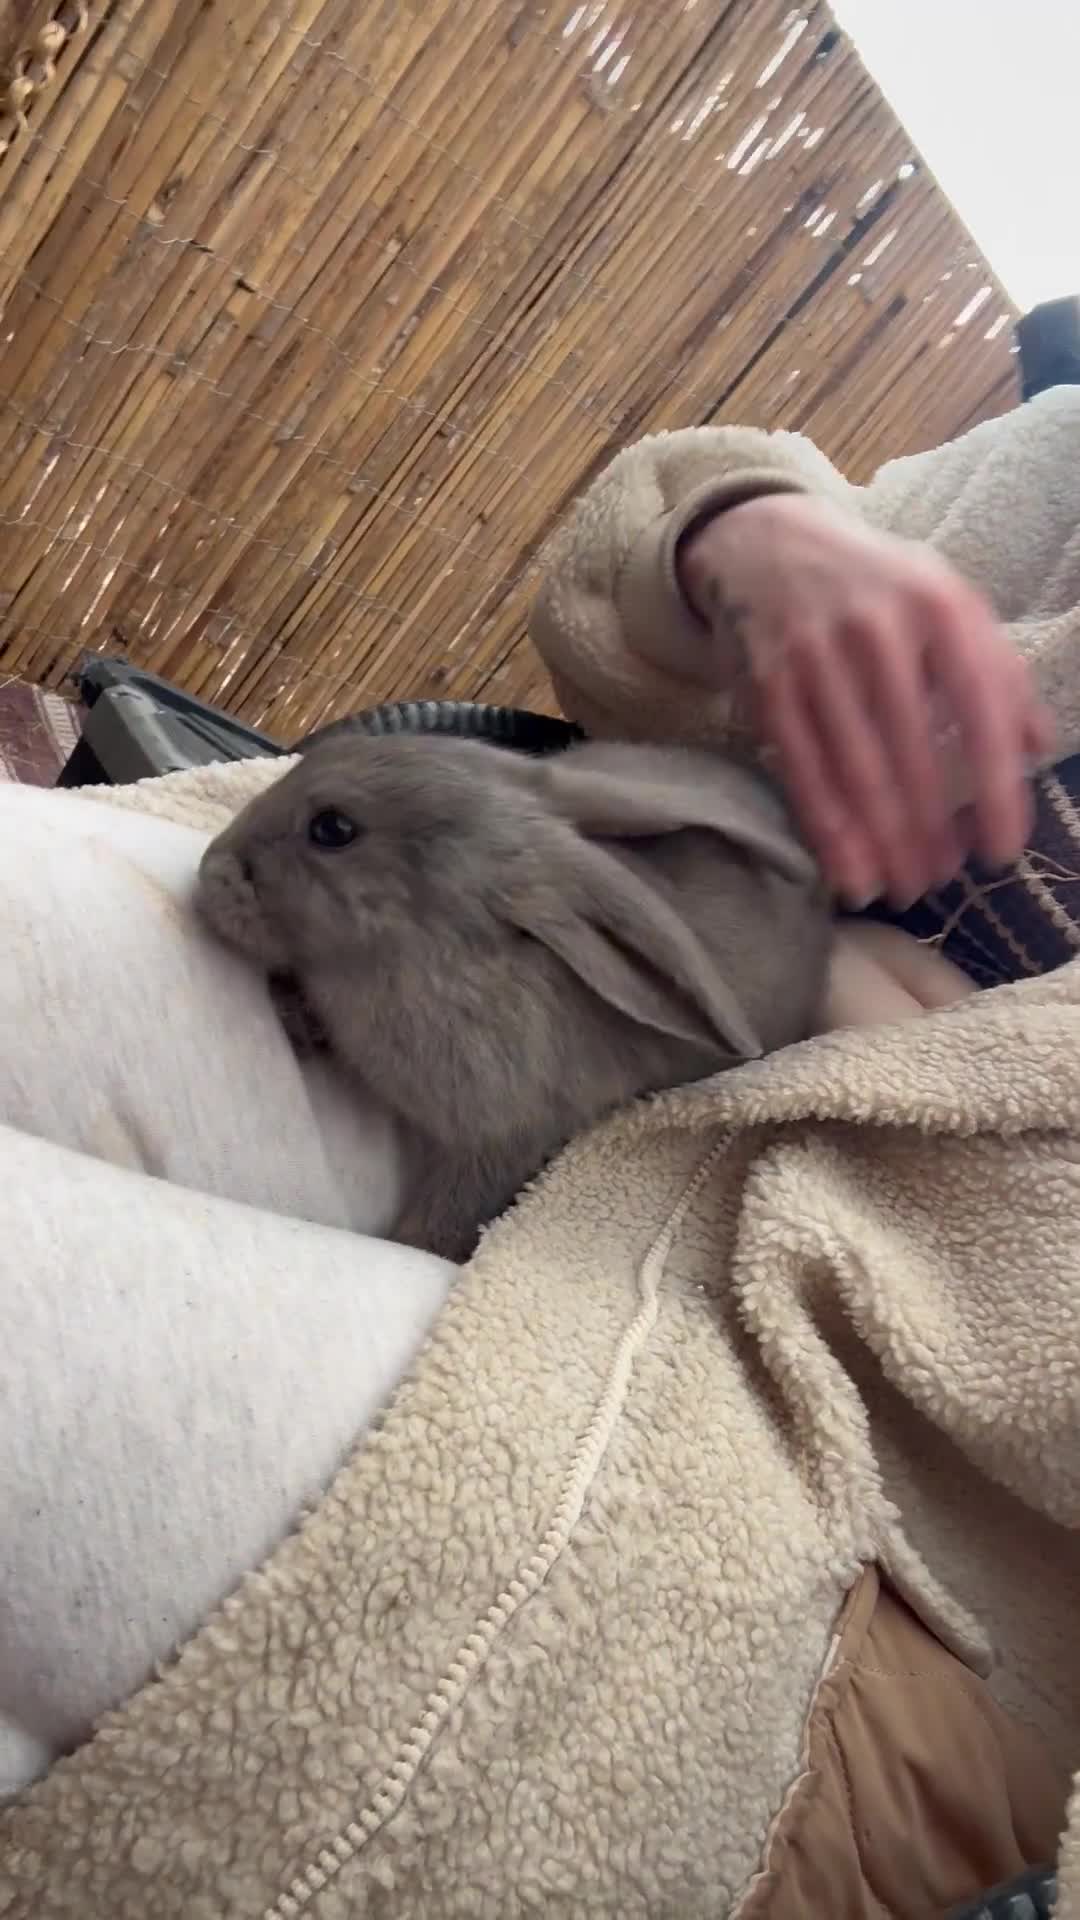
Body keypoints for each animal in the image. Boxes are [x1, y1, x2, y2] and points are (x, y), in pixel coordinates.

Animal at [196, 734, 833, 1262]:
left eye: (332, 828)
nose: (209, 870)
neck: (434, 949)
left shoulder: (505, 1141)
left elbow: (447, 1216)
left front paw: (410, 1245)